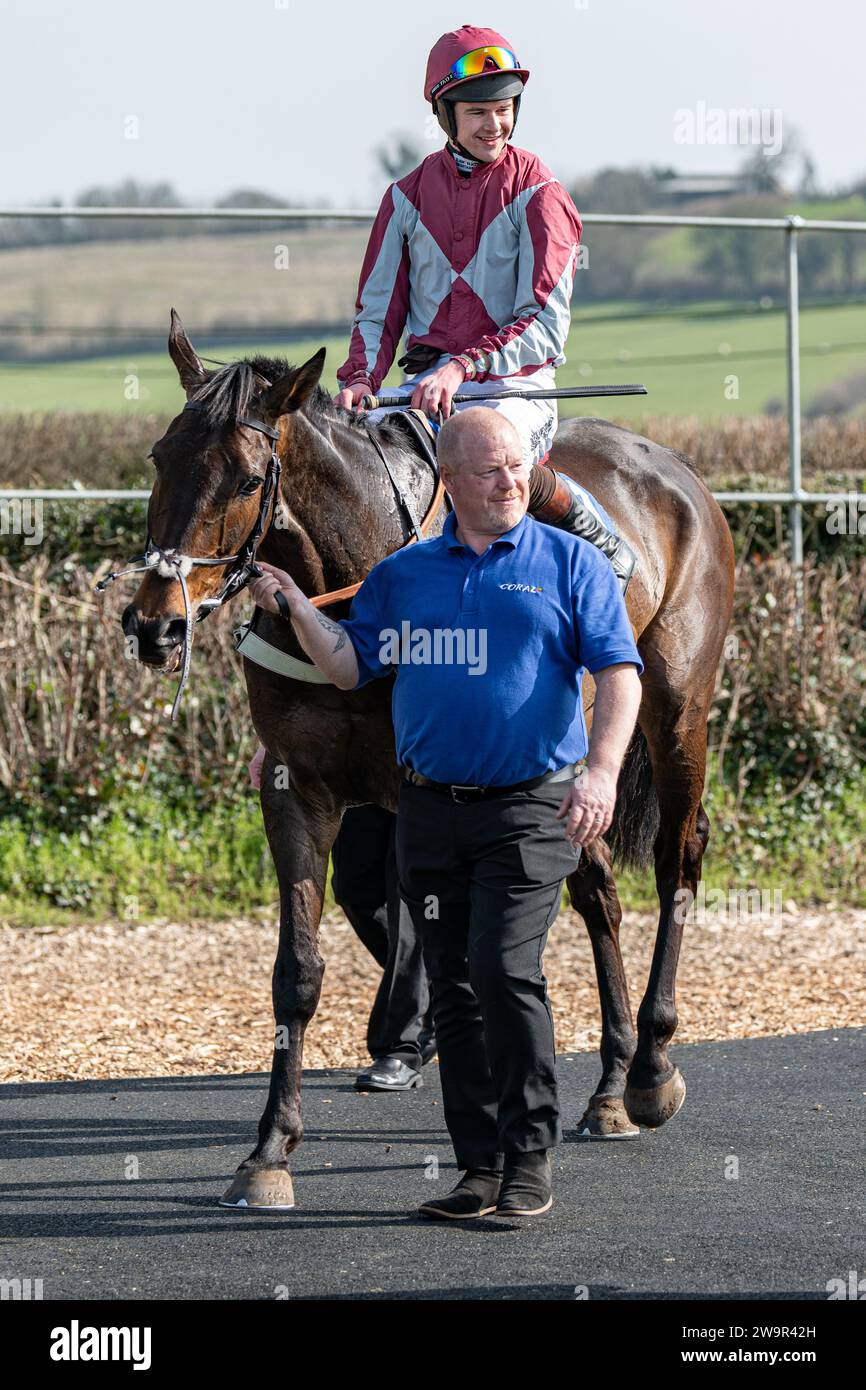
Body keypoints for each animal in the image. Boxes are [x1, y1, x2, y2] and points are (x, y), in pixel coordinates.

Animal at [118, 312, 733, 1206]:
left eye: (245, 480)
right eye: (160, 457)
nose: (155, 623)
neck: (352, 580)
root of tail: (673, 468)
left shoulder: (431, 787)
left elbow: (452, 945)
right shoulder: (296, 785)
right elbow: (299, 969)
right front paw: (270, 1150)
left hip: (677, 706)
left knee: (675, 856)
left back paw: (651, 1066)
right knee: (599, 896)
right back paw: (612, 1087)